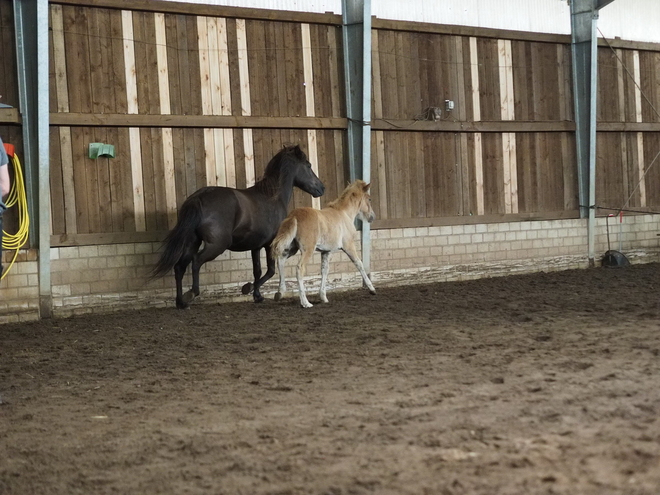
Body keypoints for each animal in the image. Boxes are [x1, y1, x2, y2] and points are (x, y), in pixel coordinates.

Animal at [150, 145, 324, 308]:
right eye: (308, 165)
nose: (321, 188)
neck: (272, 197)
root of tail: (198, 198)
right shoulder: (269, 244)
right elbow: (270, 271)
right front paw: (249, 289)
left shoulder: (256, 246)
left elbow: (257, 270)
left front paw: (257, 296)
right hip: (217, 245)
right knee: (196, 261)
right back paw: (191, 294)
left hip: (193, 242)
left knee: (180, 266)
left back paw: (181, 302)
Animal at [272, 180, 376, 308]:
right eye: (369, 199)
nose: (372, 217)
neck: (344, 214)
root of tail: (294, 216)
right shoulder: (348, 246)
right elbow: (359, 264)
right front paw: (372, 289)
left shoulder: (326, 251)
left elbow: (324, 270)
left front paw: (323, 297)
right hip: (307, 250)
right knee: (299, 268)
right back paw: (305, 303)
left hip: (291, 247)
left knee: (280, 261)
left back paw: (280, 293)